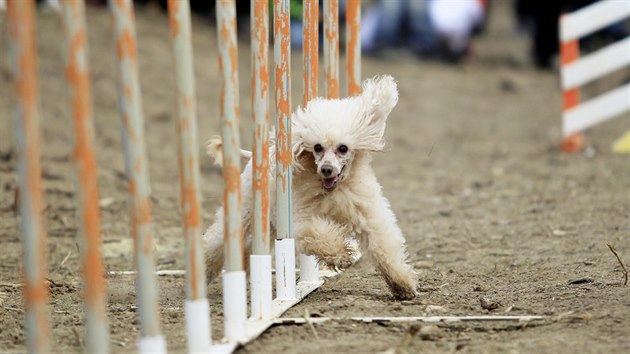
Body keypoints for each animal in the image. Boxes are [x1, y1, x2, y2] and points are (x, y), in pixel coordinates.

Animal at [204, 76, 420, 300]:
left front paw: (403, 284)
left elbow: (384, 247)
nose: (326, 169)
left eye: (343, 148)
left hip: (271, 224)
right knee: (216, 242)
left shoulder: (369, 218)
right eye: (317, 147)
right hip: (247, 212)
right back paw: (205, 272)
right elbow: (321, 235)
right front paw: (342, 255)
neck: (333, 192)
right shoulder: (305, 220)